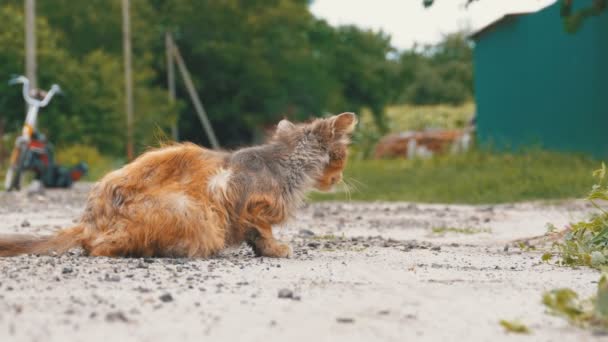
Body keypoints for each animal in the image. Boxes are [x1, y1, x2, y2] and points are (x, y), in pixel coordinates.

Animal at [0, 113, 356, 258]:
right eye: (342, 157)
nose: (340, 177)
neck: (288, 165)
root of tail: (87, 220)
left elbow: (256, 235)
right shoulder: (245, 202)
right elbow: (263, 231)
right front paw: (276, 250)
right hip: (191, 211)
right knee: (98, 248)